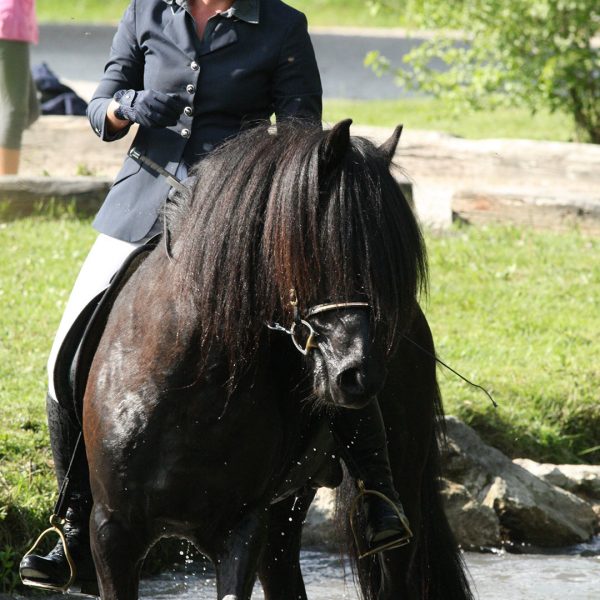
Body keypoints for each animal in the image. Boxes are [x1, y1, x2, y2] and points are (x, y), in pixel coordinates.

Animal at [81, 119, 474, 596]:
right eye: (328, 245)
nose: (360, 377)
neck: (191, 384)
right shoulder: (111, 531)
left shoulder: (241, 528)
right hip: (284, 515)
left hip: (399, 490)